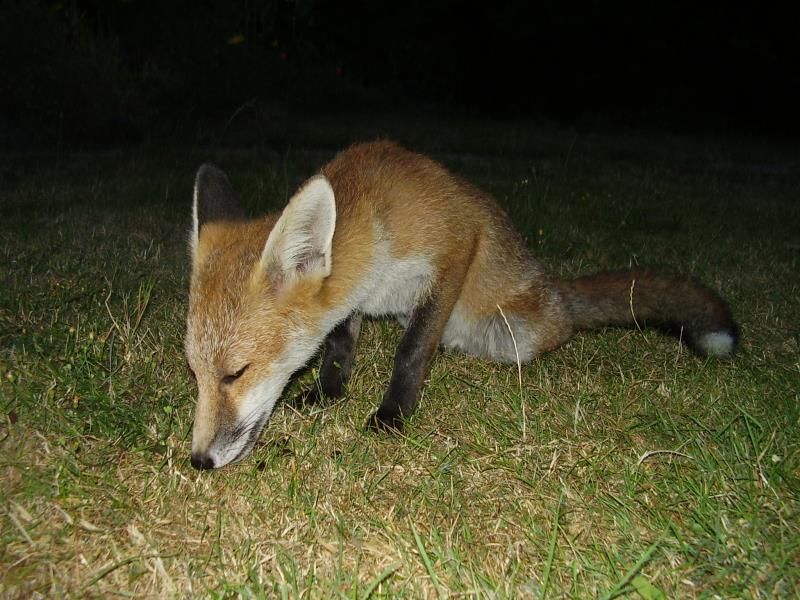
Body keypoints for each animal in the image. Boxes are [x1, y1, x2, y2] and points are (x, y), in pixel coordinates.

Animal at [186, 139, 736, 468]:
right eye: (195, 373)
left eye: (235, 373)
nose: (199, 460)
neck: (375, 219)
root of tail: (556, 291)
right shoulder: (351, 293)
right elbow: (339, 345)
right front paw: (328, 393)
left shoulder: (454, 248)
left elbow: (412, 351)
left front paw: (393, 416)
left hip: (517, 333)